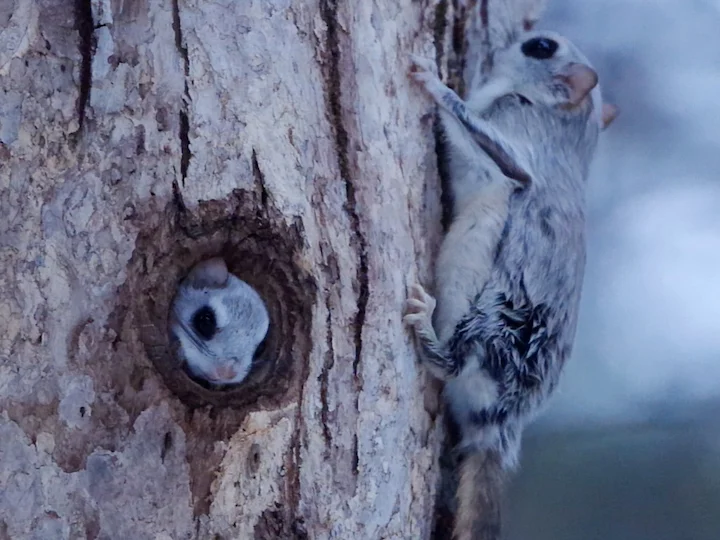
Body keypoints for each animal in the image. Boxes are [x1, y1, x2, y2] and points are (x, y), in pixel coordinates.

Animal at [404, 30, 617, 539]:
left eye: (541, 47)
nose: (505, 39)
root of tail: (501, 424)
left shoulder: (518, 146)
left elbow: (478, 132)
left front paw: (433, 81)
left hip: (489, 309)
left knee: (453, 364)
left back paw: (426, 329)